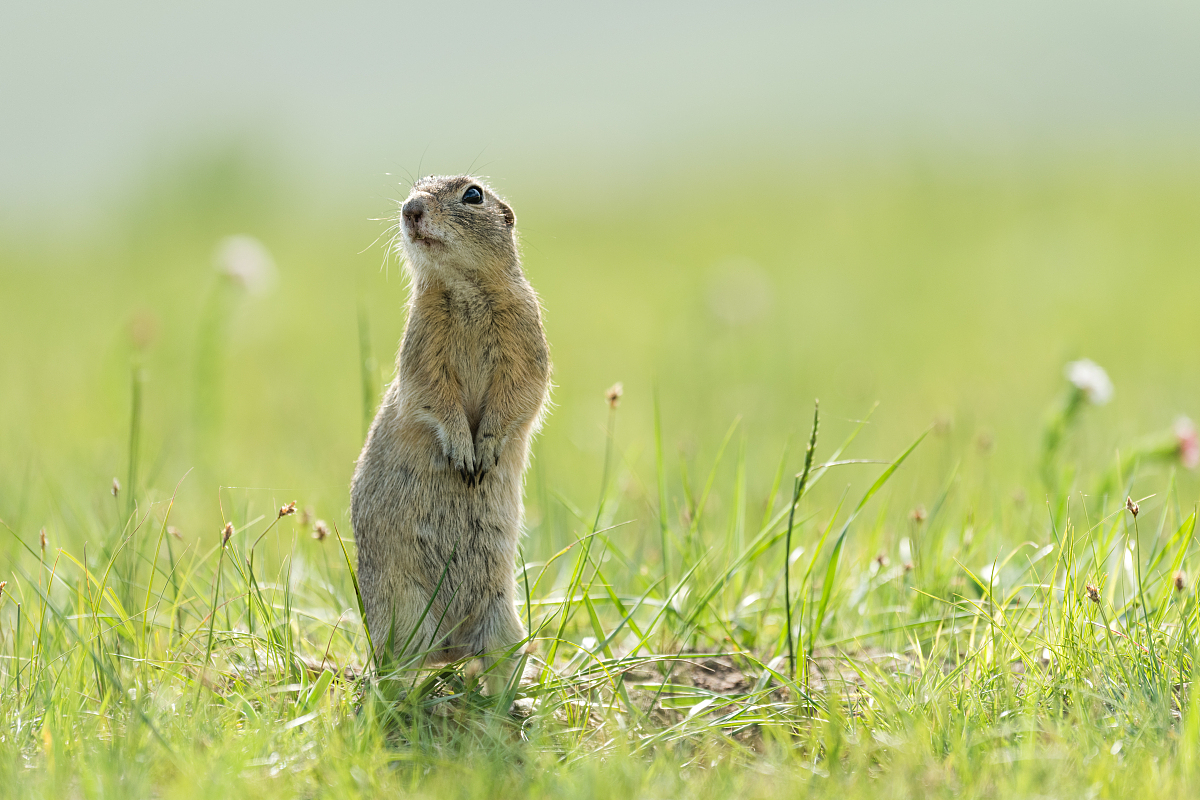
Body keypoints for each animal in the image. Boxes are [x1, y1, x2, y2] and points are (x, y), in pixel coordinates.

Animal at [350, 175, 549, 695]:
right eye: (415, 187)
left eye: (473, 194)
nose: (410, 209)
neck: (463, 289)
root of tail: (450, 649)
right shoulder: (423, 342)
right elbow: (434, 395)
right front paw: (462, 450)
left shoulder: (526, 332)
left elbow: (522, 391)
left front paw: (487, 450)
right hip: (399, 615)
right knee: (397, 668)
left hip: (503, 624)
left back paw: (510, 702)